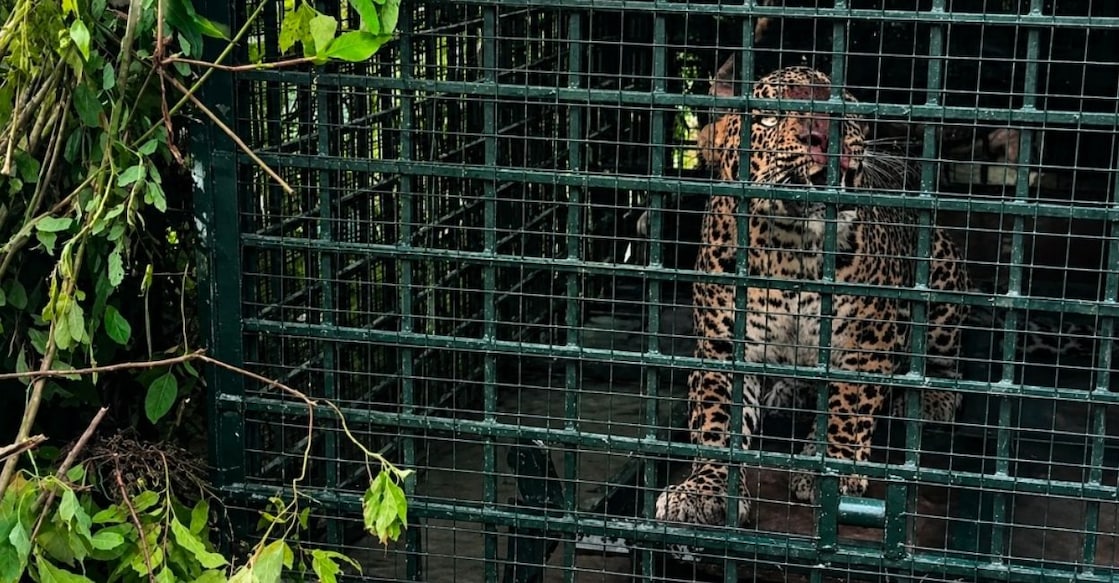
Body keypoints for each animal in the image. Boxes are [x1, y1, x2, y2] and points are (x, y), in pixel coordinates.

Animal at [653, 63, 972, 529]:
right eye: (770, 116)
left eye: (850, 110)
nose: (825, 136)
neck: (792, 249)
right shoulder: (722, 346)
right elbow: (715, 421)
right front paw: (703, 489)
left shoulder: (865, 341)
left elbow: (847, 408)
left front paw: (832, 473)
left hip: (942, 274)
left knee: (943, 357)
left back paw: (934, 397)